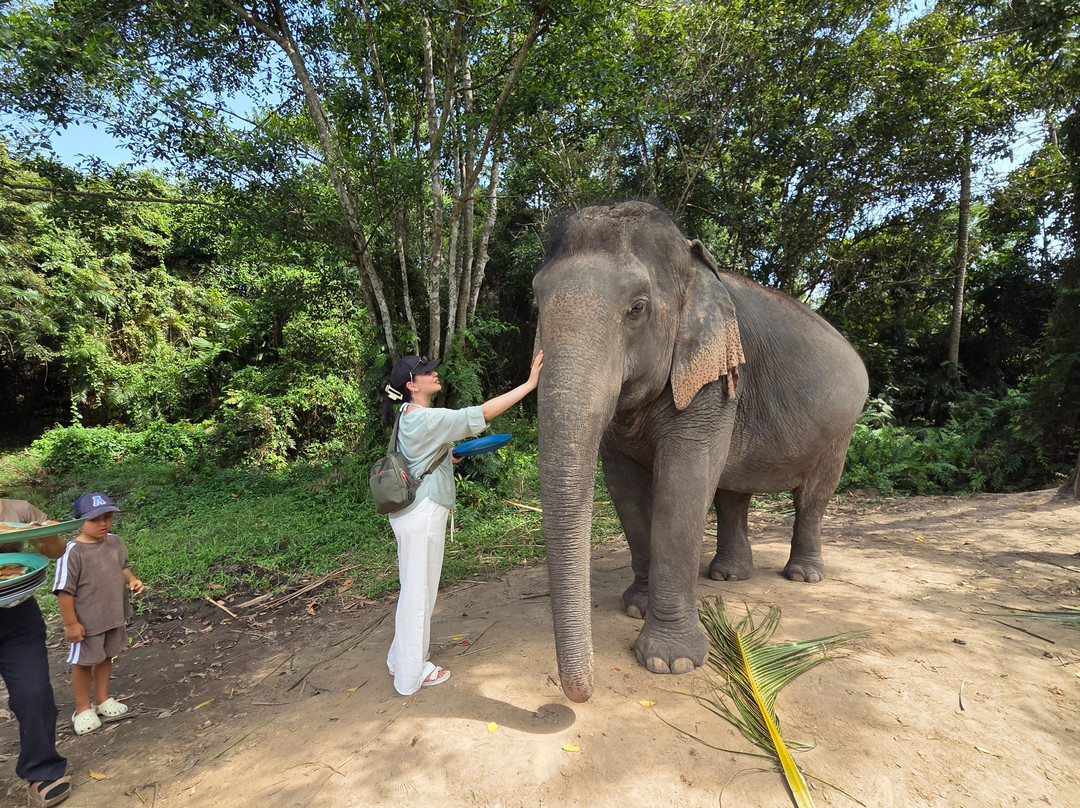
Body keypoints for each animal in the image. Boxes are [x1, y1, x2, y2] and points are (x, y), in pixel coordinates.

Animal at [532, 201, 869, 703]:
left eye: (637, 308)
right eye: (536, 303)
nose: (580, 693)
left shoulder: (714, 373)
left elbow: (682, 486)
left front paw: (669, 662)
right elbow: (625, 489)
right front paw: (636, 607)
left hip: (841, 428)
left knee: (813, 496)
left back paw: (803, 576)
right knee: (733, 492)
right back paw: (727, 577)